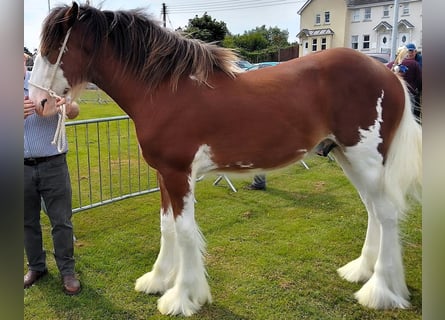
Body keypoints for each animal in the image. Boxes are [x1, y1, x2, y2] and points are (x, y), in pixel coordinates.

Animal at [30, 3, 420, 318]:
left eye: (51, 49)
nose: (39, 103)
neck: (167, 89)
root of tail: (388, 72)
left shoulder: (178, 174)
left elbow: (185, 232)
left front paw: (183, 297)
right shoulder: (162, 175)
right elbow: (166, 227)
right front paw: (158, 280)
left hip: (365, 159)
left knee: (386, 214)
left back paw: (380, 291)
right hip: (346, 157)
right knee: (373, 211)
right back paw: (361, 271)